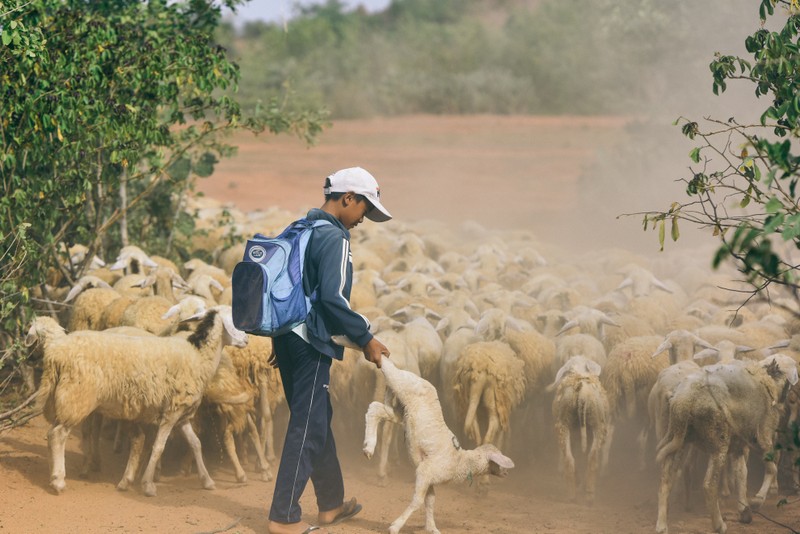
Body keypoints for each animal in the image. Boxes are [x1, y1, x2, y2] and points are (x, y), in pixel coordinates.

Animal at [36, 310, 247, 498]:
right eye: (234, 321)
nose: (247, 340)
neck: (199, 356)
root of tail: (55, 354)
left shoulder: (182, 415)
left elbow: (196, 443)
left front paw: (207, 481)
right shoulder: (171, 413)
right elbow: (158, 447)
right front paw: (148, 485)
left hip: (66, 399)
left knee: (53, 433)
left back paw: (54, 473)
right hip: (77, 398)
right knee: (58, 435)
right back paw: (59, 481)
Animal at [364, 358, 516, 534]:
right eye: (500, 460)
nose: (506, 473)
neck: (460, 461)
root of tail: (421, 379)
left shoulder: (430, 478)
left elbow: (430, 501)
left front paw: (432, 527)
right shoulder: (424, 471)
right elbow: (417, 501)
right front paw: (395, 526)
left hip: (402, 410)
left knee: (375, 408)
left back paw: (368, 446)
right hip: (403, 384)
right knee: (388, 368)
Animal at [552, 358, 612, 504]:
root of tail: (582, 393)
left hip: (565, 425)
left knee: (570, 459)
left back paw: (573, 494)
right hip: (596, 425)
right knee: (592, 457)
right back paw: (588, 494)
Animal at [652, 356, 796, 534]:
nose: (786, 402)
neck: (765, 379)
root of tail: (685, 400)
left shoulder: (739, 445)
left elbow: (741, 474)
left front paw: (744, 510)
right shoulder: (762, 436)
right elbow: (772, 468)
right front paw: (757, 500)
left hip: (678, 439)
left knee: (665, 481)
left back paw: (662, 525)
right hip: (718, 441)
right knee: (709, 485)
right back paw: (719, 525)